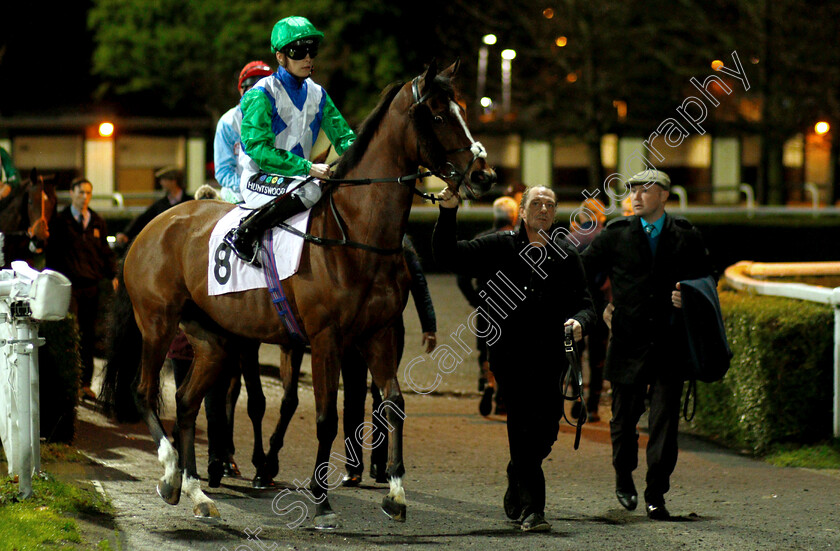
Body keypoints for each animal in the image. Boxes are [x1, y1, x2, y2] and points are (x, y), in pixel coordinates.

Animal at [103, 61, 498, 532]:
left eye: (464, 110)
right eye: (438, 116)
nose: (484, 176)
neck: (355, 234)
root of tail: (149, 228)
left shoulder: (379, 333)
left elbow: (394, 402)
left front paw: (396, 494)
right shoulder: (325, 337)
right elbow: (326, 418)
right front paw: (322, 502)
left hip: (213, 338)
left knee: (184, 402)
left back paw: (198, 493)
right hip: (158, 322)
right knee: (145, 391)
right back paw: (169, 473)